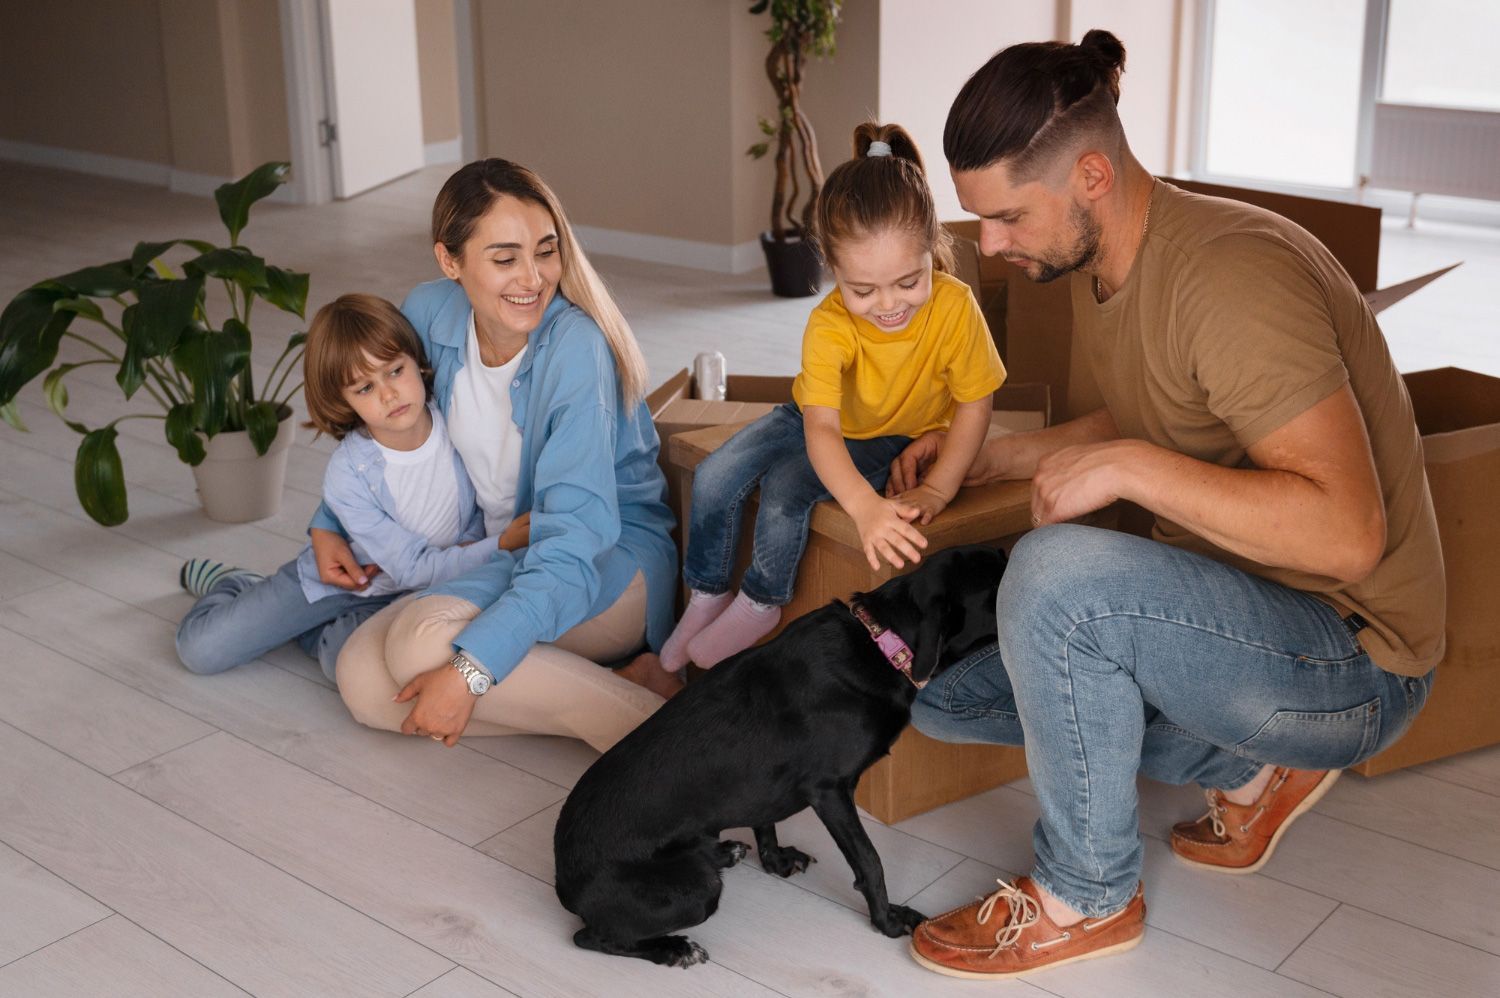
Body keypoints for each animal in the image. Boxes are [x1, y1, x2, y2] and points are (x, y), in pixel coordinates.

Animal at [555, 546, 1008, 966]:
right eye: (998, 589)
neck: (878, 642)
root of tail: (564, 882)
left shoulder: (767, 784)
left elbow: (765, 822)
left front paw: (775, 862)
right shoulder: (830, 790)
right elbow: (870, 861)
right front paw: (888, 920)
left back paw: (724, 852)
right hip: (696, 890)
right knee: (590, 938)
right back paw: (673, 947)